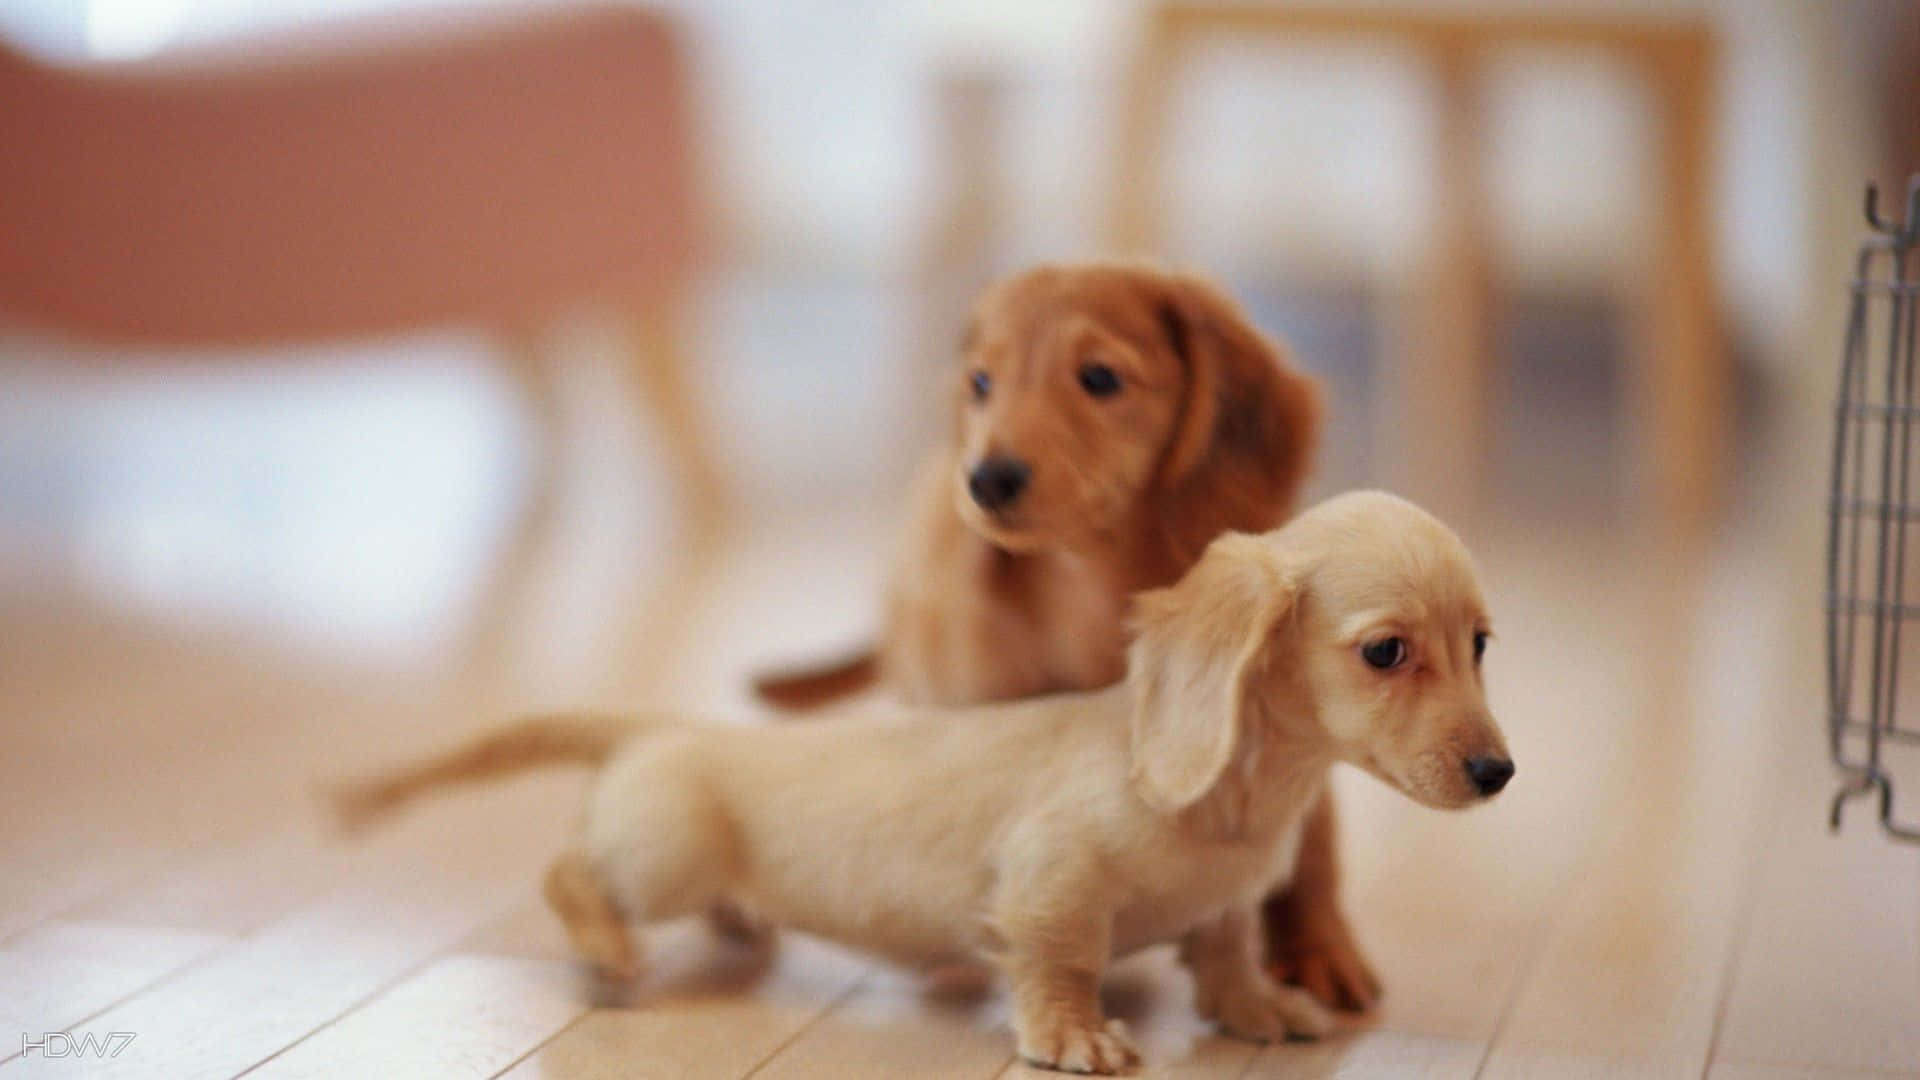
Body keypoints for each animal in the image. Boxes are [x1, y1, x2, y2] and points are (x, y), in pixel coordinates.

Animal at [341, 491, 1512, 1068]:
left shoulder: (1226, 904)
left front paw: (1258, 1007)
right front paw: (1073, 1036)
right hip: (661, 856)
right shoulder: (1051, 888)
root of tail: (664, 727)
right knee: (568, 875)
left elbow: (1223, 952)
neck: (1242, 797)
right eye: (1386, 651)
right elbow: (1061, 962)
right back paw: (609, 949)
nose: (1499, 773)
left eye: (1481, 643)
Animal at [752, 263, 1382, 1006]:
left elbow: (1313, 847)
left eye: (1100, 377)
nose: (987, 478)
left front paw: (1319, 951)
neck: (1093, 594)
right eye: (981, 383)